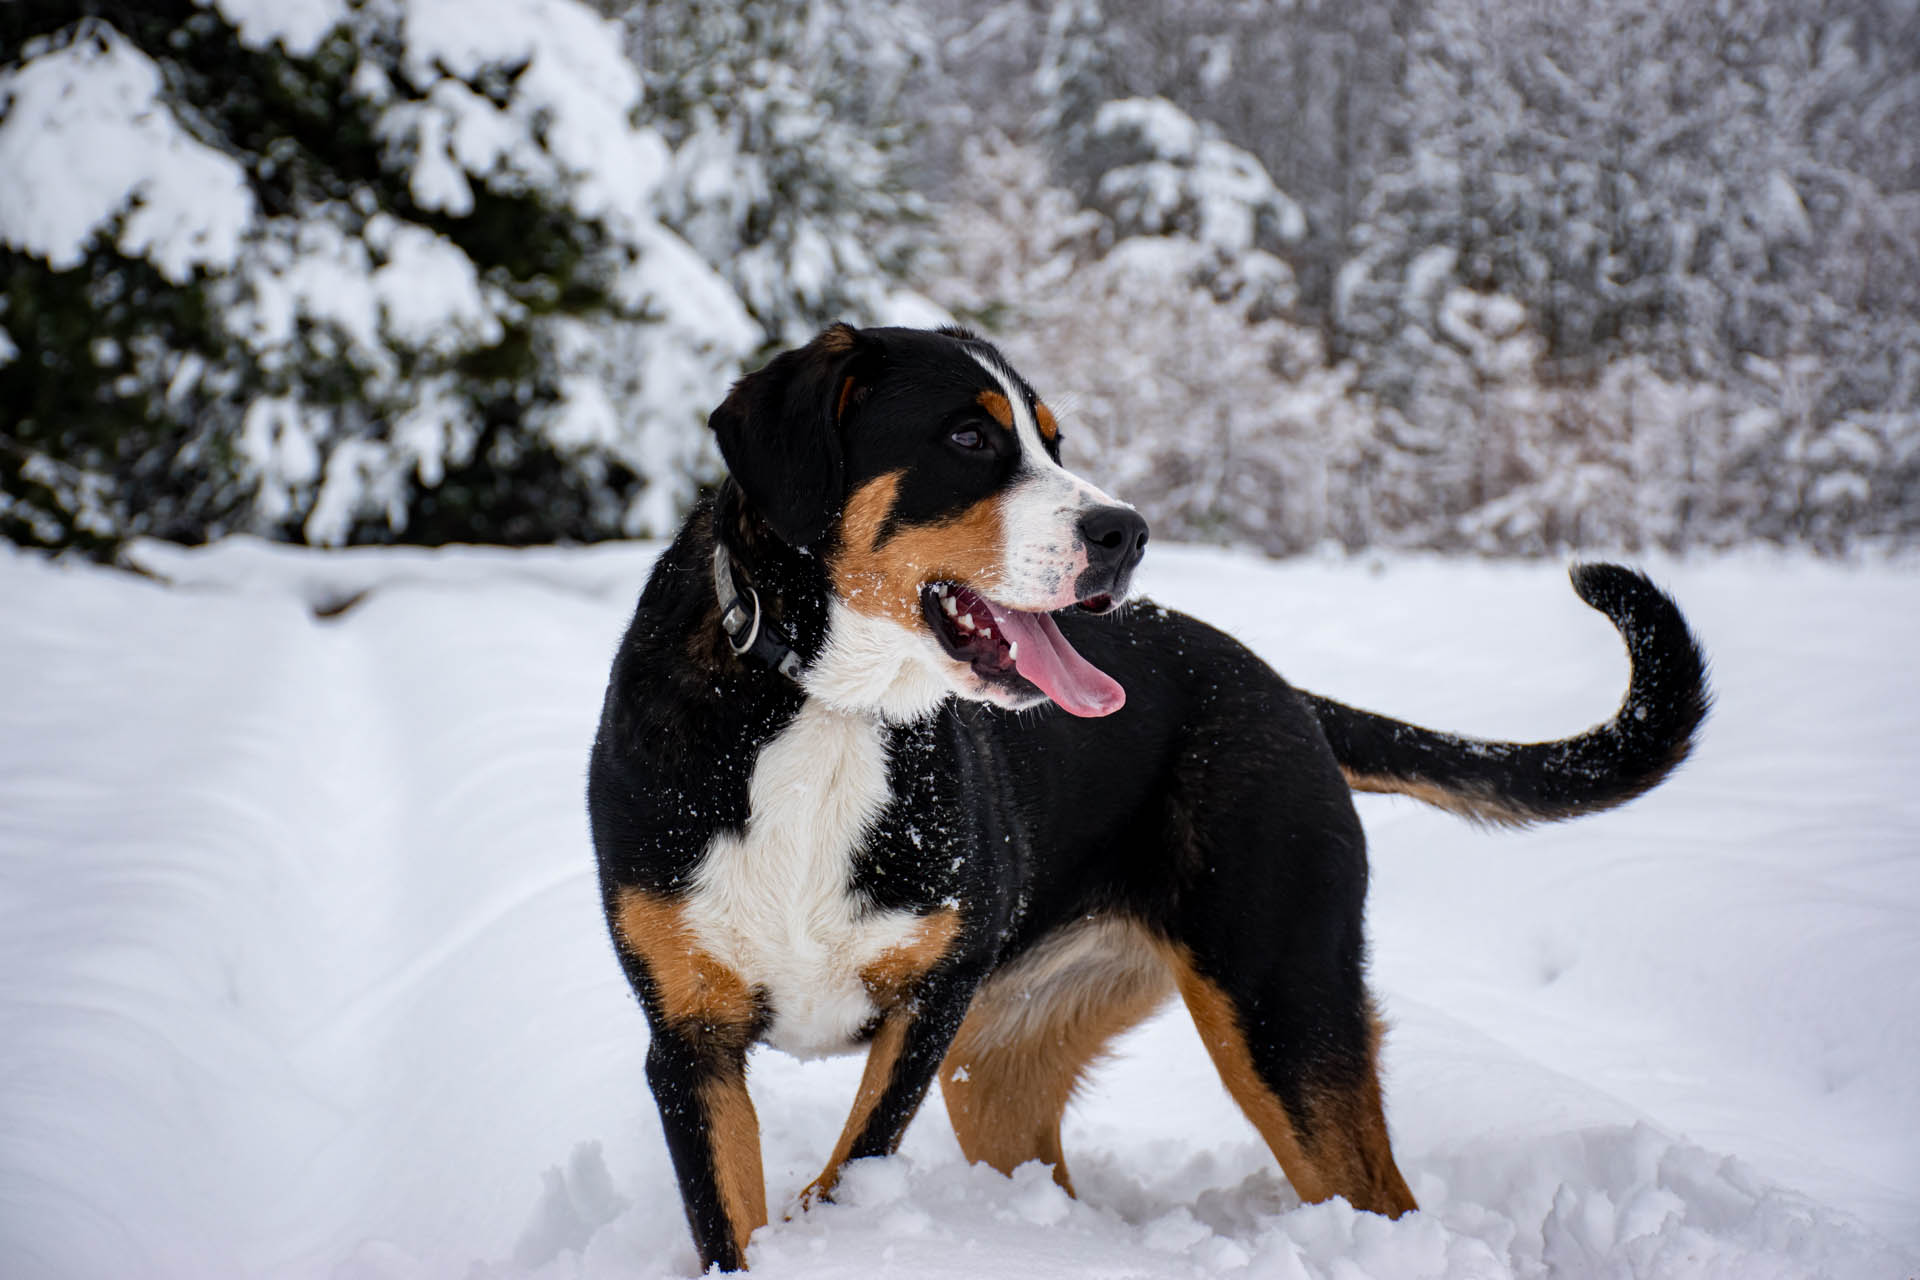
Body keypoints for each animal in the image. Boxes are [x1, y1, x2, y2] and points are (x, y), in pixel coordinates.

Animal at [583, 322, 1712, 1274]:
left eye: (1053, 440)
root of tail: (1280, 687)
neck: (829, 710)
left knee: (1379, 1196)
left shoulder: (928, 1003)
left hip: (1283, 1010)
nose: (1125, 531)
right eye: (967, 436)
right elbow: (737, 1218)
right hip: (1004, 1070)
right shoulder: (689, 1043)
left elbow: (844, 1171)